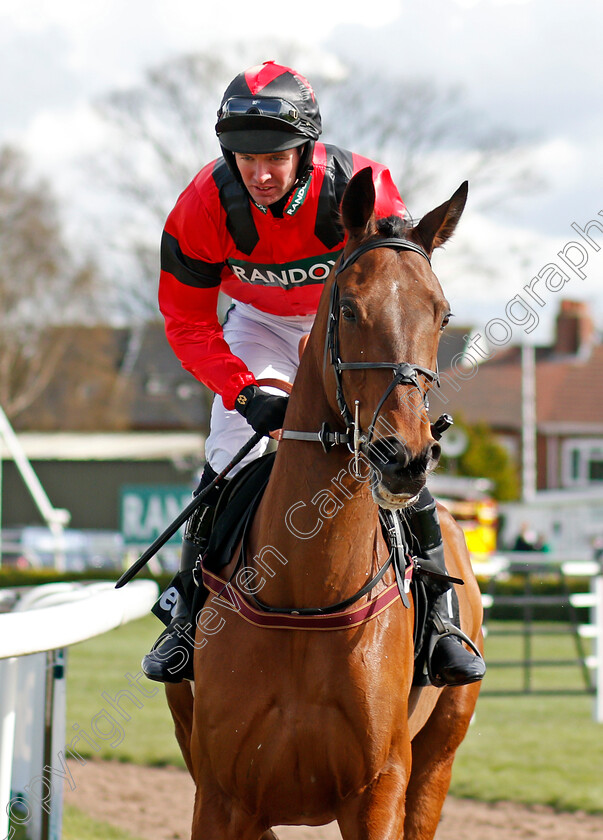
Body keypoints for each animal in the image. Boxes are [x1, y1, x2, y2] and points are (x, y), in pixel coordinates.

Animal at [166, 167, 486, 836]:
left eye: (442, 315)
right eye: (347, 306)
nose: (403, 454)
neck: (305, 595)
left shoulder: (379, 791)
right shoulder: (222, 798)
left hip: (437, 760)